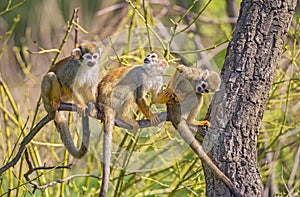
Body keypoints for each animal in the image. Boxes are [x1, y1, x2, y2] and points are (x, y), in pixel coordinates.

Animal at [97, 51, 169, 197]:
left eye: (153, 57)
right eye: (149, 55)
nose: (146, 58)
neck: (151, 74)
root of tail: (101, 102)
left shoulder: (158, 78)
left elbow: (155, 98)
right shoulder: (141, 75)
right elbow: (139, 97)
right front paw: (151, 116)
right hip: (112, 98)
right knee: (130, 87)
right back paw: (122, 116)